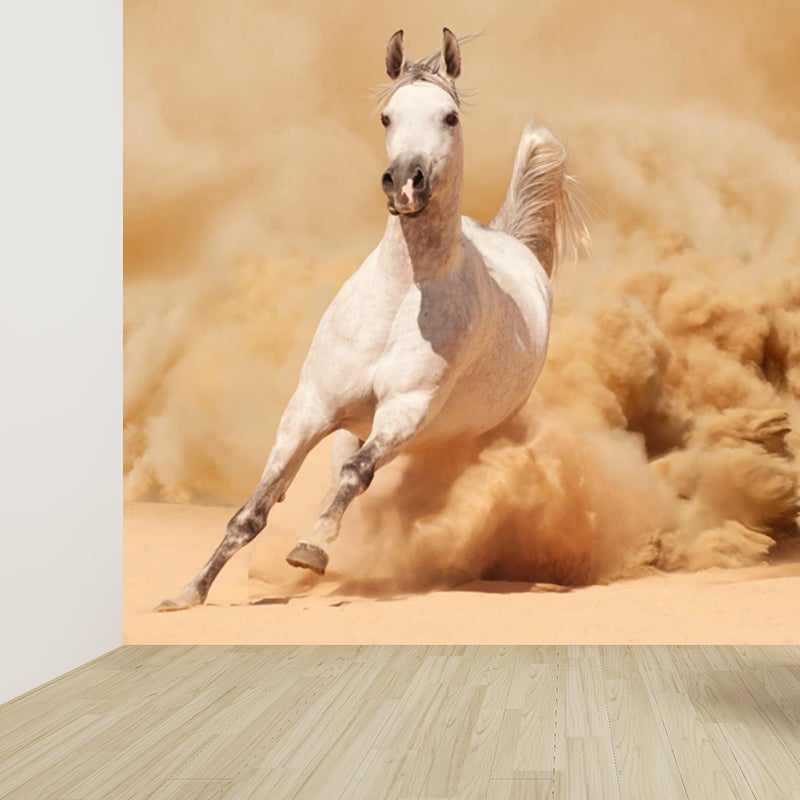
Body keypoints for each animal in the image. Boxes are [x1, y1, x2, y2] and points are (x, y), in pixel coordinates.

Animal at [157, 28, 588, 611]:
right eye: (387, 116)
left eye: (450, 116)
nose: (405, 182)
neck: (401, 299)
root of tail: (512, 241)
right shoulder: (310, 408)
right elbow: (255, 509)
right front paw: (188, 593)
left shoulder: (405, 410)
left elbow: (356, 475)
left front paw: (310, 549)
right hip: (351, 424)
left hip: (460, 433)